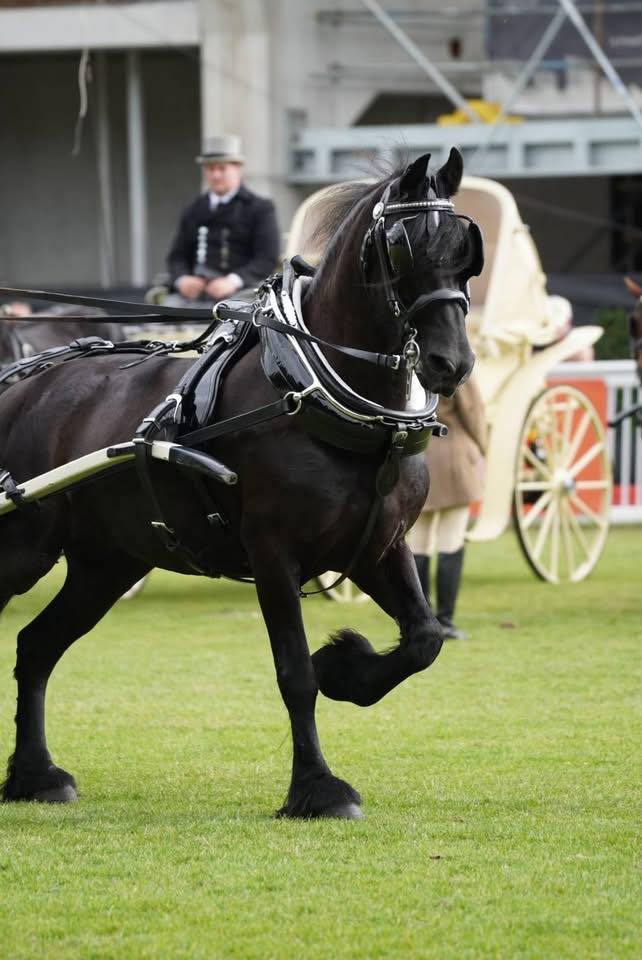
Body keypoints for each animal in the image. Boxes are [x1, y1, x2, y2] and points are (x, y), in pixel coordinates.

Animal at [0, 149, 479, 818]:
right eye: (403, 246)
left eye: (465, 248)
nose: (450, 363)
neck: (312, 392)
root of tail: (21, 384)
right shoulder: (274, 553)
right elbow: (294, 675)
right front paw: (317, 788)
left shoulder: (379, 547)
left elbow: (424, 639)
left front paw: (346, 670)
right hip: (22, 550)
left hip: (107, 564)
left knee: (36, 647)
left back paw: (35, 776)